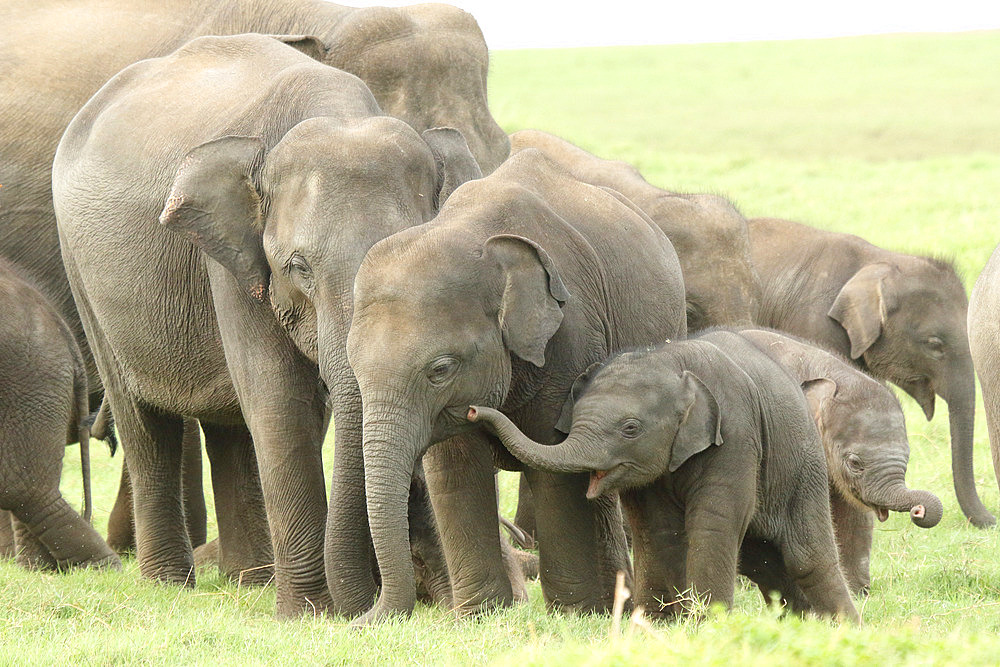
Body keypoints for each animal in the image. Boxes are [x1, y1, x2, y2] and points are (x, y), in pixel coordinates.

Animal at [344, 146, 688, 620]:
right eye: (354, 368)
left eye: (440, 369)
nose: (359, 623)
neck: (475, 238)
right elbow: (453, 468)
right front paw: (479, 615)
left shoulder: (572, 335)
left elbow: (555, 465)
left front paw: (571, 614)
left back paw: (606, 606)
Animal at [468, 332, 860, 624]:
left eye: (630, 428)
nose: (472, 411)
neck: (669, 361)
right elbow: (659, 530)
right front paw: (659, 624)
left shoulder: (736, 433)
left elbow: (714, 521)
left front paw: (706, 625)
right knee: (762, 561)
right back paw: (802, 623)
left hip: (804, 468)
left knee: (806, 556)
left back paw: (843, 628)